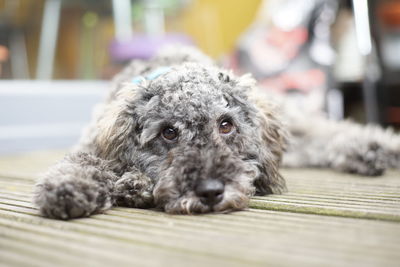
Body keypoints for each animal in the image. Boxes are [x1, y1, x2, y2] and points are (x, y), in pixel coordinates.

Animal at [33, 46, 400, 220]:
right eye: (168, 132)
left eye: (226, 125)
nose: (210, 192)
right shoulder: (91, 144)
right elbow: (80, 162)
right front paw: (68, 187)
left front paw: (133, 184)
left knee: (327, 130)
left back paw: (377, 146)